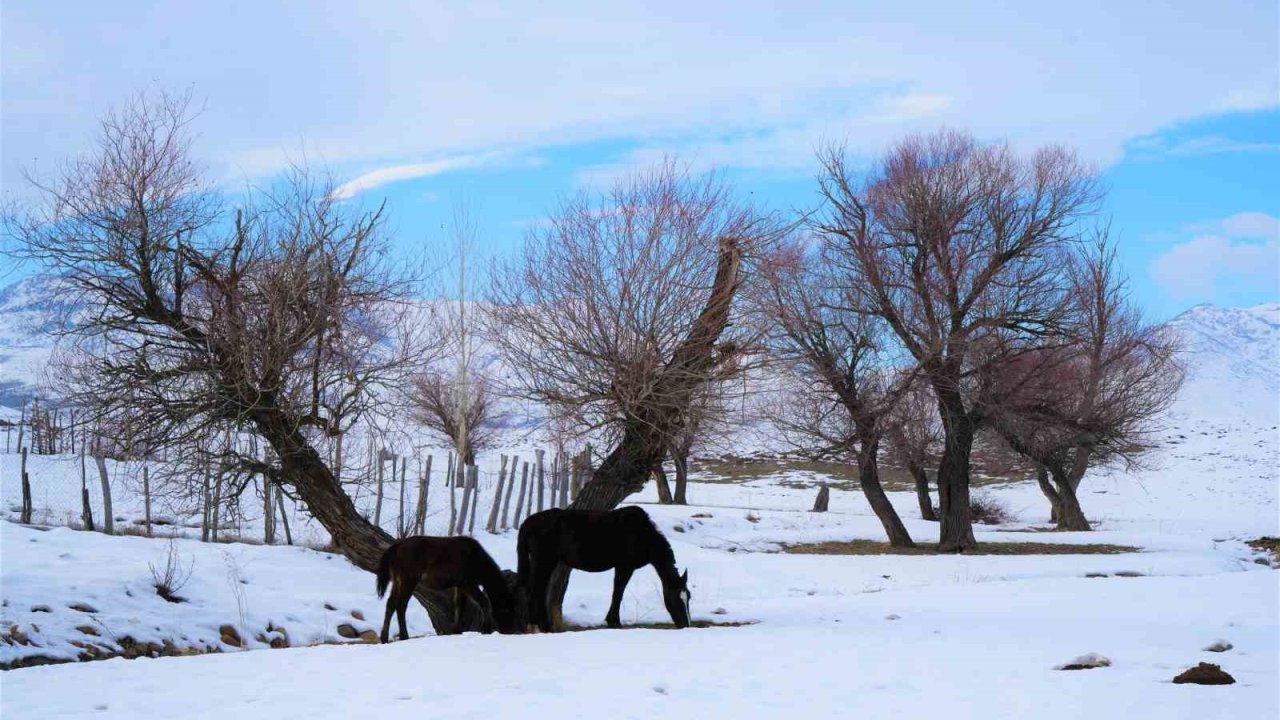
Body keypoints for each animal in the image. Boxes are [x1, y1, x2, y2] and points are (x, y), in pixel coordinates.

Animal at [373, 532, 519, 638]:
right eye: (507, 609)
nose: (509, 630)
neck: (477, 562)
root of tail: (395, 548)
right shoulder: (467, 583)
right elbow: (483, 602)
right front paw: (486, 629)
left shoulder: (459, 585)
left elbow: (459, 605)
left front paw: (457, 630)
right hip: (408, 580)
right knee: (401, 605)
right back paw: (404, 635)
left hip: (397, 581)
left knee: (391, 604)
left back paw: (384, 637)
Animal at [514, 504, 691, 627]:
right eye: (677, 597)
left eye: (688, 596)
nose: (686, 624)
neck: (643, 535)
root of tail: (527, 522)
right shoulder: (624, 567)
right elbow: (618, 592)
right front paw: (614, 621)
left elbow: (617, 592)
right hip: (543, 561)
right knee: (534, 591)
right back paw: (541, 625)